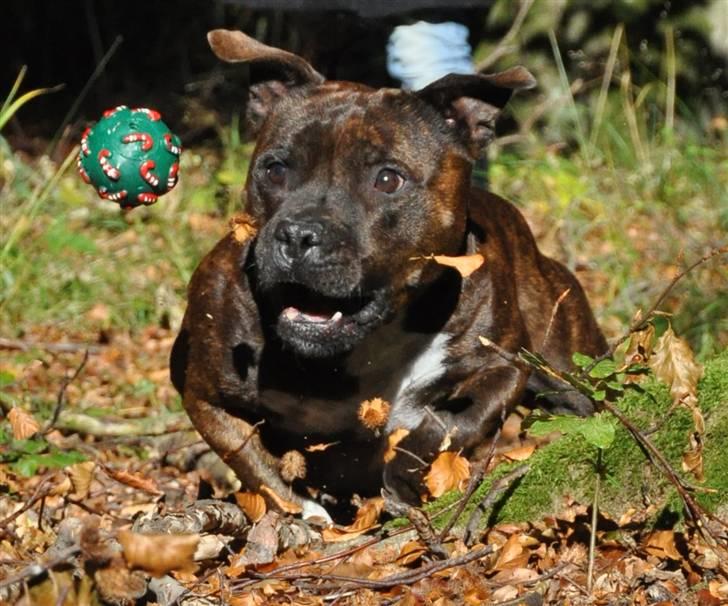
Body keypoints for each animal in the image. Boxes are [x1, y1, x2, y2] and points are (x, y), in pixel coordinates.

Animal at [169, 30, 604, 520]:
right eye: (275, 169)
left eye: (388, 179)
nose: (298, 234)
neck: (360, 348)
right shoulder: (204, 395)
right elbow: (257, 467)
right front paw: (310, 517)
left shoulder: (503, 367)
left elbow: (448, 423)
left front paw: (402, 475)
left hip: (569, 367)